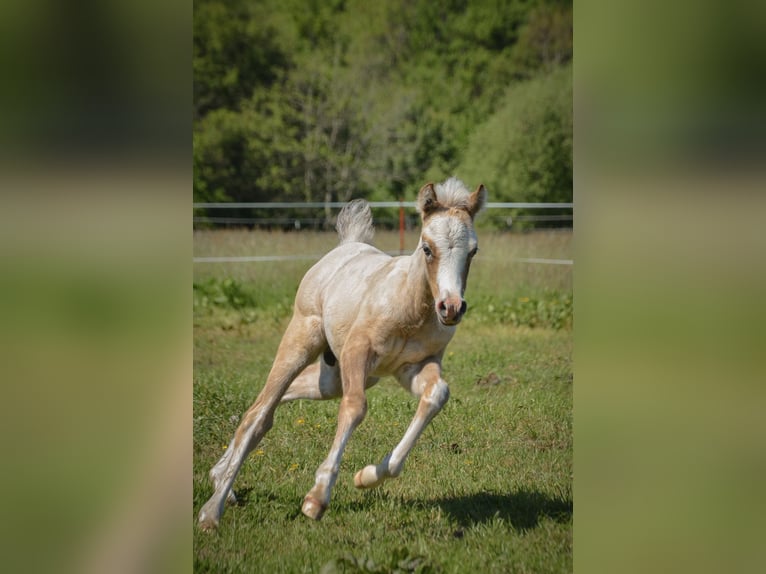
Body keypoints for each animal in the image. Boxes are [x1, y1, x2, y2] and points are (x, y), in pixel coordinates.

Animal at [198, 177, 486, 529]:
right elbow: (355, 408)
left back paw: (218, 478)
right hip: (301, 342)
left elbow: (437, 395)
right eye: (427, 248)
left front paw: (367, 476)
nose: (451, 307)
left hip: (333, 378)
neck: (412, 307)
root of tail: (346, 247)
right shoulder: (356, 352)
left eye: (472, 251)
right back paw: (212, 510)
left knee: (278, 403)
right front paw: (317, 498)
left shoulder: (414, 366)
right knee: (257, 414)